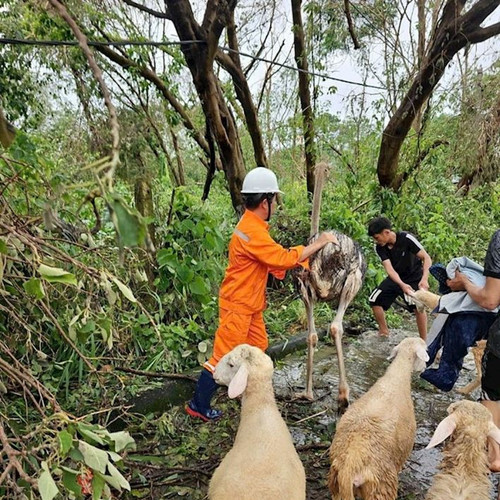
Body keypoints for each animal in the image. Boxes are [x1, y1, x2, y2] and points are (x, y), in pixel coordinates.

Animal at [292, 162, 368, 408]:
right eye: (327, 170)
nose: (329, 172)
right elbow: (334, 328)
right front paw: (343, 394)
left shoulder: (307, 293)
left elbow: (312, 336)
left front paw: (307, 393)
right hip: (351, 283)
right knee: (336, 327)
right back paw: (344, 395)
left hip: (304, 290)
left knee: (313, 334)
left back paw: (307, 394)